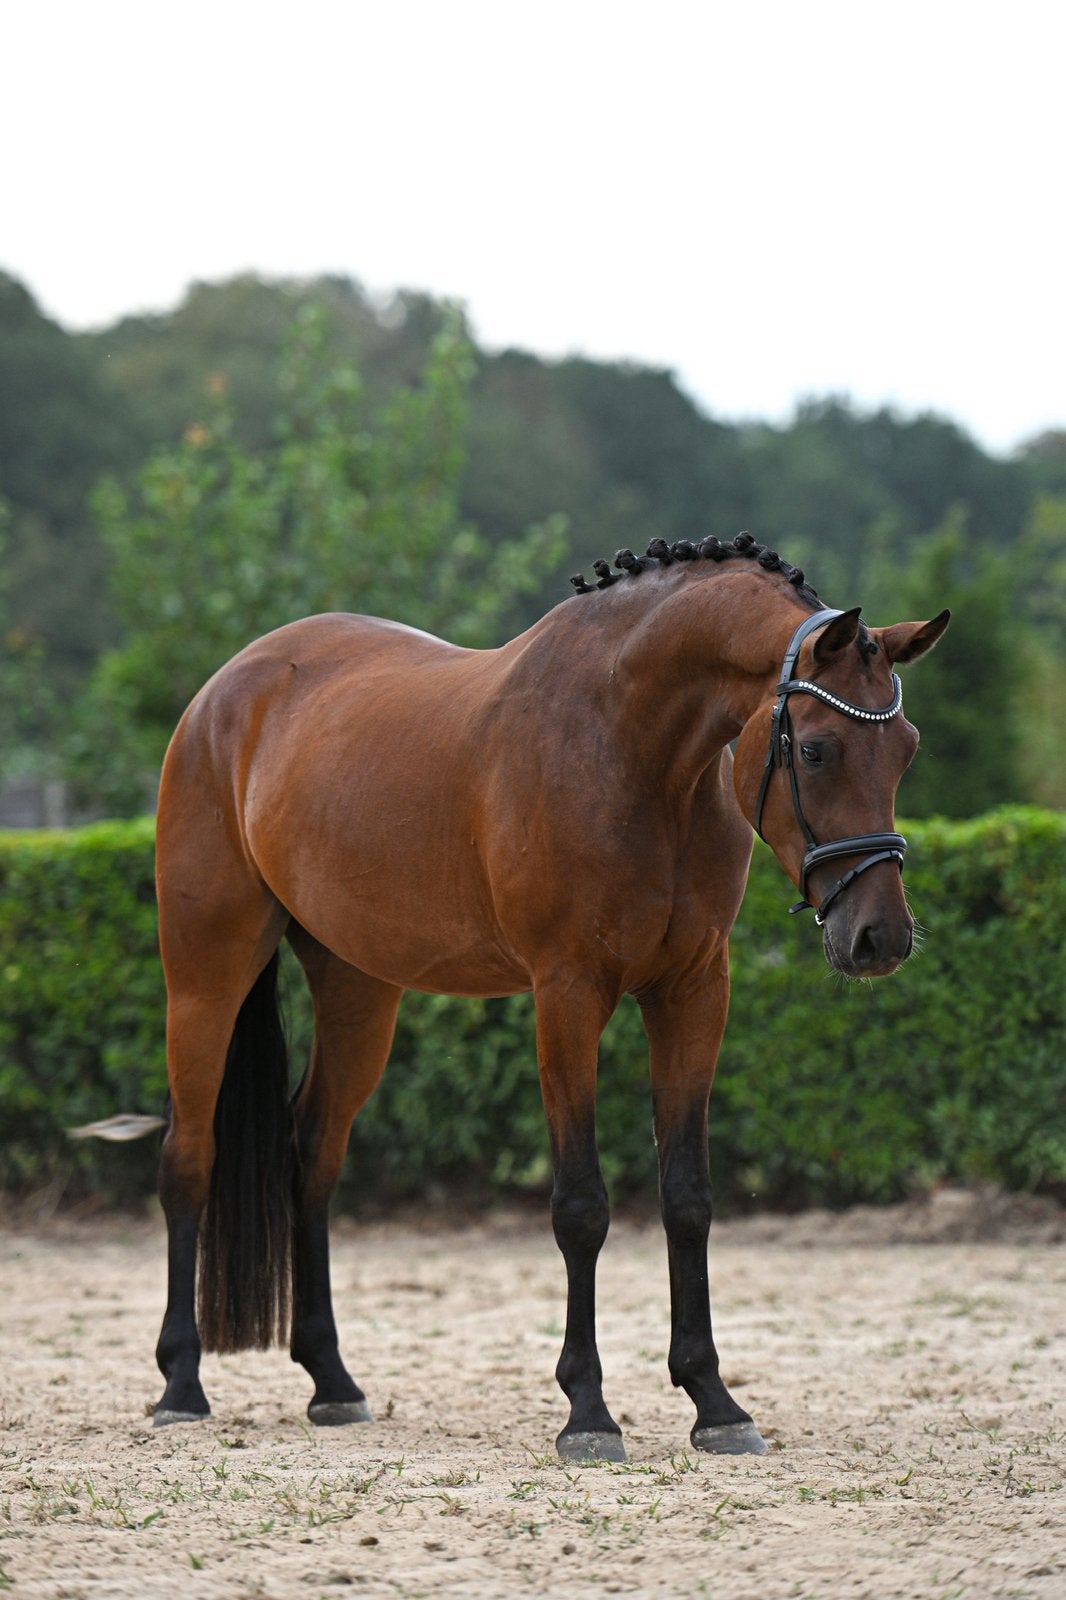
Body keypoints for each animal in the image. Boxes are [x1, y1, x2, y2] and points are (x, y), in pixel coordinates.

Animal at [152, 531, 948, 1463]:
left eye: (908, 748)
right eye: (817, 749)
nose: (879, 938)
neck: (633, 750)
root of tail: (224, 692)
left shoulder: (692, 994)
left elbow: (688, 1196)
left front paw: (714, 1402)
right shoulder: (567, 995)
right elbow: (581, 1206)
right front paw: (589, 1411)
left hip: (358, 989)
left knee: (310, 1157)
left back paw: (333, 1381)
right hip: (205, 976)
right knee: (188, 1158)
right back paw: (180, 1384)